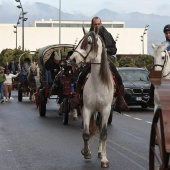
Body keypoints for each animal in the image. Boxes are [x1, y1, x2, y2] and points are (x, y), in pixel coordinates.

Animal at [69, 26, 113, 167]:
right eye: (79, 41)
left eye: (89, 42)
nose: (72, 59)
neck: (98, 83)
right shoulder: (87, 109)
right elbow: (86, 133)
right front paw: (86, 152)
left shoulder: (106, 110)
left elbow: (103, 133)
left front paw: (104, 159)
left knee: (101, 130)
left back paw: (101, 152)